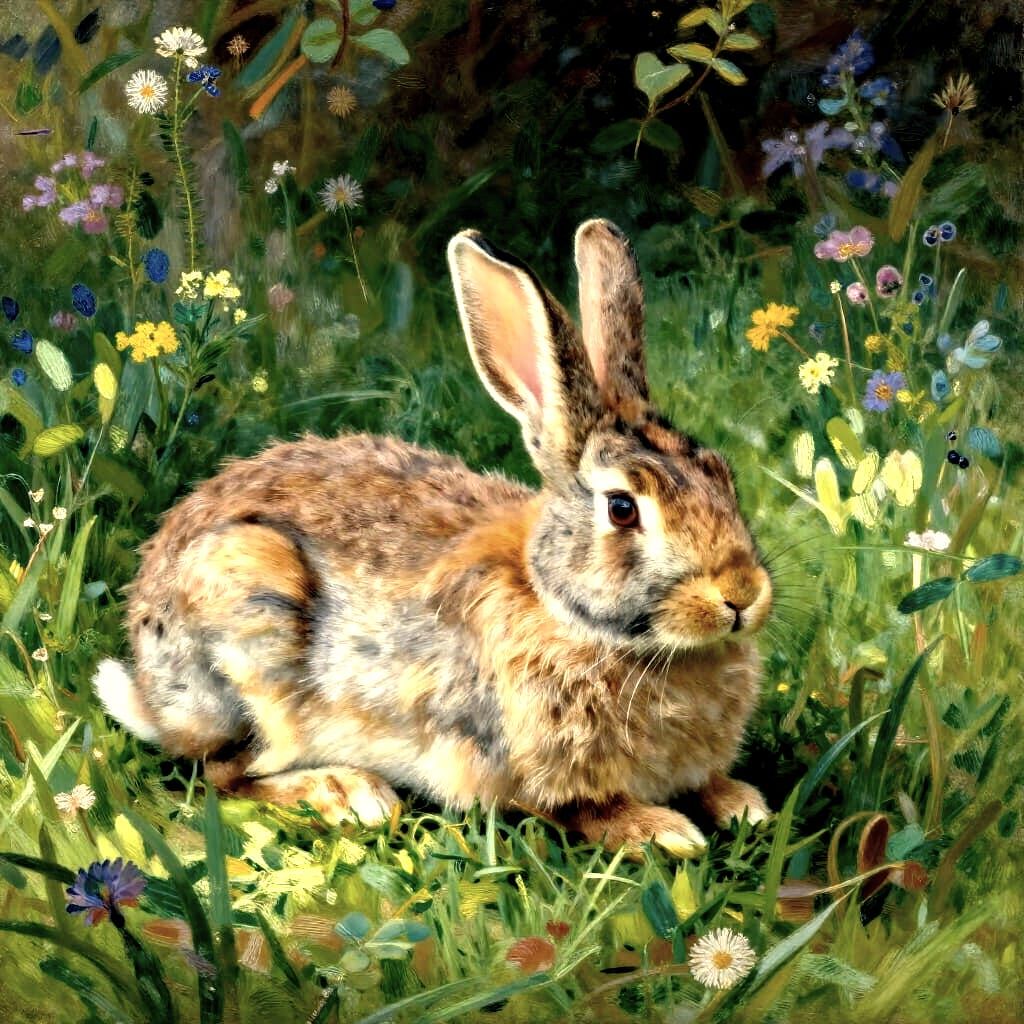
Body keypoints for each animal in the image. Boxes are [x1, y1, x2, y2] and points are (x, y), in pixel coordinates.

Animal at [93, 219, 772, 857]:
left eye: (723, 474)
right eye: (623, 509)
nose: (741, 594)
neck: (564, 610)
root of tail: (150, 694)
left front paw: (742, 802)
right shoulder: (510, 764)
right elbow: (583, 809)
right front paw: (663, 830)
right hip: (250, 613)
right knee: (224, 773)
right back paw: (349, 793)